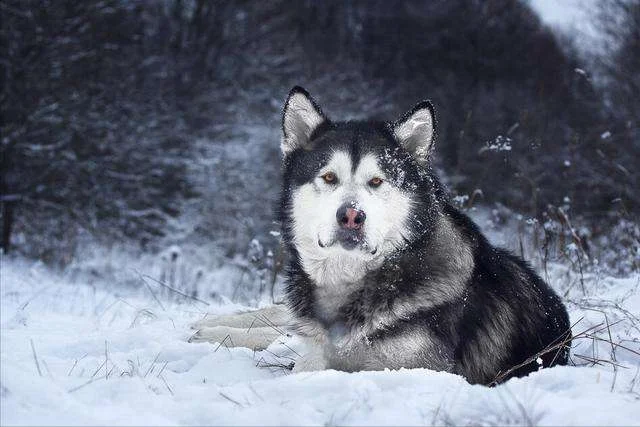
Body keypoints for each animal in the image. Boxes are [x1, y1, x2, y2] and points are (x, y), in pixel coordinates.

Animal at [190, 86, 568, 384]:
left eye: (376, 181)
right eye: (329, 177)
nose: (351, 216)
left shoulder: (417, 368)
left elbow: (312, 362)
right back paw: (211, 325)